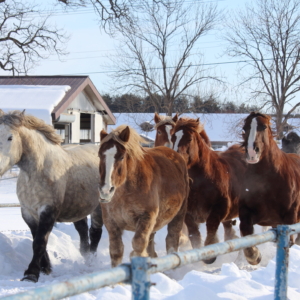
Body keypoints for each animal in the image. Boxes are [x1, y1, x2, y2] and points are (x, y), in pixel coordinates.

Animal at [0, 109, 103, 282]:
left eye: (10, 137)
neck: (37, 171)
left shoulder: (48, 210)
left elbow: (40, 241)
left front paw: (32, 273)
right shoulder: (28, 212)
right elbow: (36, 238)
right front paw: (45, 268)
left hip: (100, 207)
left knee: (95, 232)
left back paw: (90, 263)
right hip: (78, 207)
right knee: (83, 230)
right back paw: (85, 255)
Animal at [98, 124, 189, 268]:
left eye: (121, 157)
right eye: (99, 155)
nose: (105, 191)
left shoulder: (146, 218)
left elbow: (138, 246)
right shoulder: (111, 222)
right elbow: (116, 252)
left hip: (178, 214)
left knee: (172, 239)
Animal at [171, 117, 246, 262]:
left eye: (189, 138)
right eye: (173, 138)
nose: (176, 160)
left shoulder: (221, 207)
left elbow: (211, 226)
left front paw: (210, 254)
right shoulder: (189, 213)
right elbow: (194, 235)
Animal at [240, 112, 300, 264]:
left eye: (264, 127)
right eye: (245, 128)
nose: (252, 152)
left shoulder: (290, 218)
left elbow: (290, 242)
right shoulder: (248, 212)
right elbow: (246, 234)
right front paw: (255, 255)